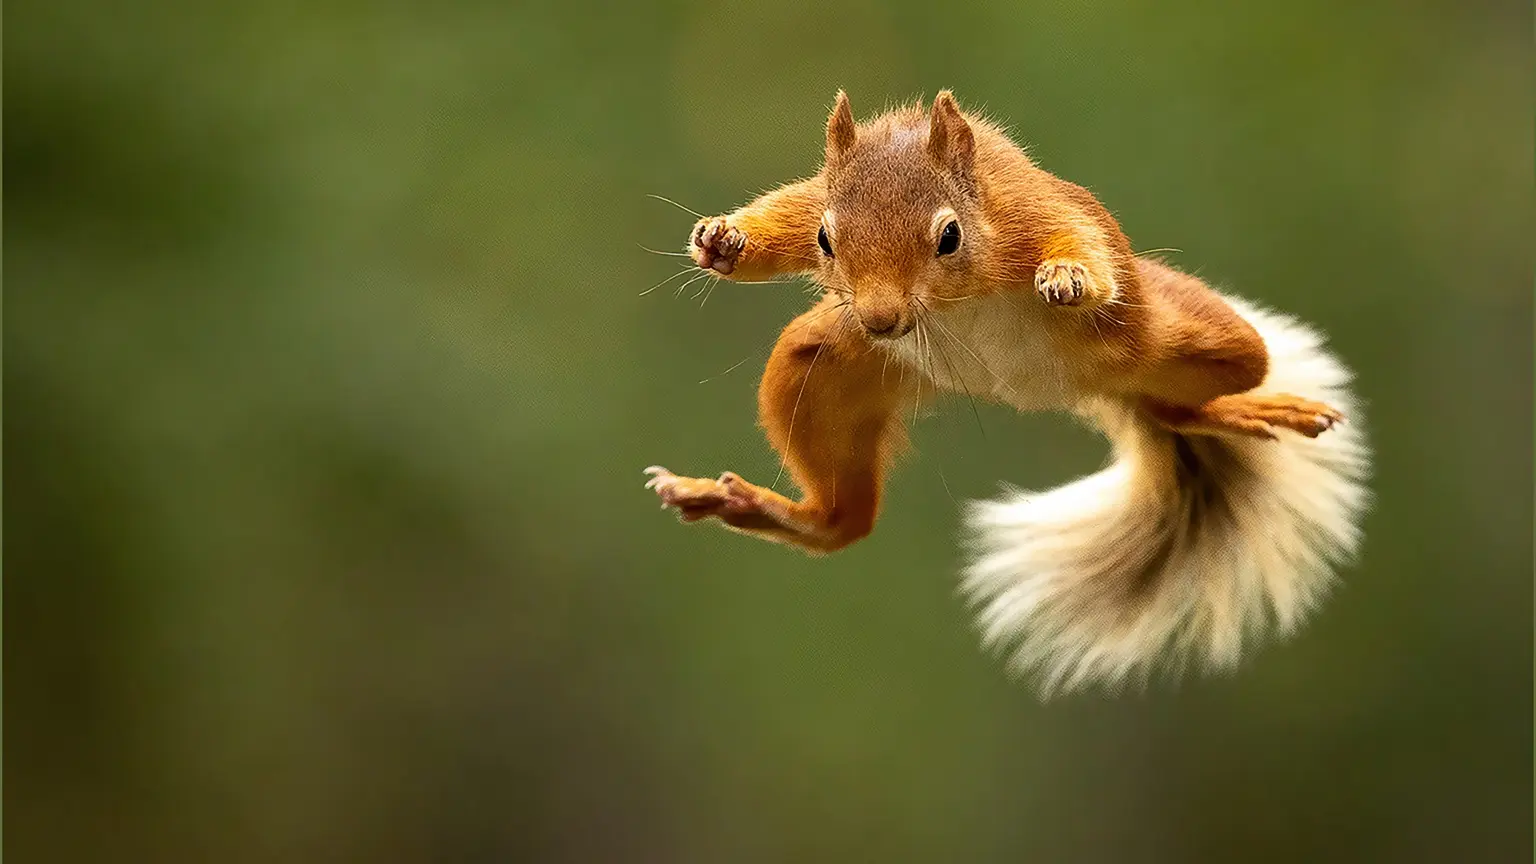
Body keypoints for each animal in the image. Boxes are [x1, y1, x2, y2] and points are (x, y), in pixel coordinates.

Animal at [643, 91, 1370, 696]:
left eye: (949, 236)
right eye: (826, 240)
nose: (879, 320)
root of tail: (1089, 390)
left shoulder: (1030, 211)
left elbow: (1077, 239)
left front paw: (1069, 276)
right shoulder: (817, 202)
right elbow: (787, 211)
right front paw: (724, 240)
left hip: (1189, 338)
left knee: (1195, 391)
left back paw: (1251, 407)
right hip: (822, 370)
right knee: (845, 522)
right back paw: (738, 502)